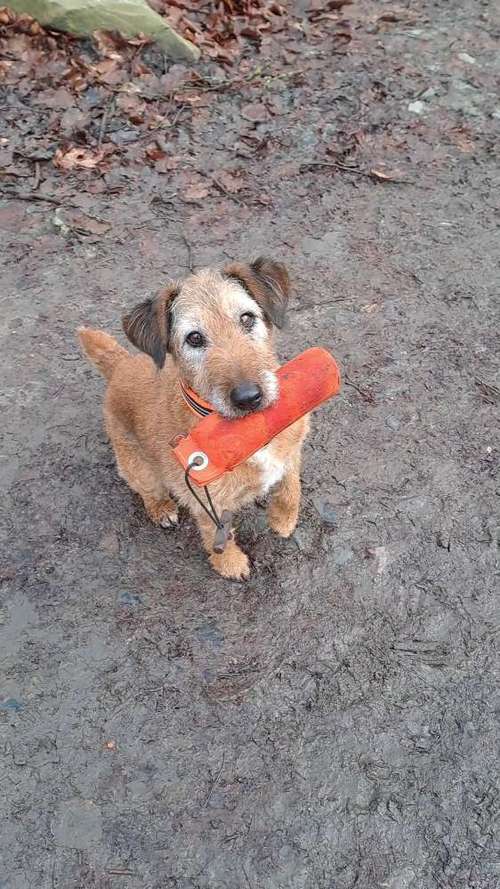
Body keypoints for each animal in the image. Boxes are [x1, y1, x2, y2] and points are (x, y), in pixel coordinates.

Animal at [78, 256, 308, 580]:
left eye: (247, 318)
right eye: (194, 338)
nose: (249, 398)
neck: (250, 434)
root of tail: (121, 365)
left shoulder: (291, 452)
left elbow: (290, 489)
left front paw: (283, 520)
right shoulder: (206, 501)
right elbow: (215, 535)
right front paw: (231, 564)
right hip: (138, 467)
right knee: (146, 489)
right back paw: (162, 508)